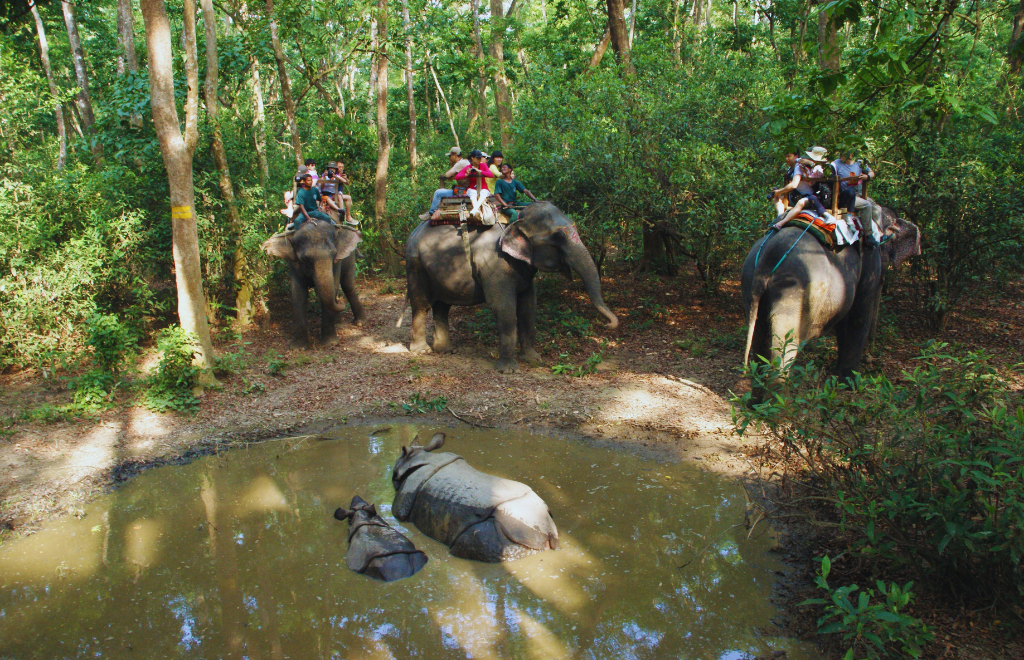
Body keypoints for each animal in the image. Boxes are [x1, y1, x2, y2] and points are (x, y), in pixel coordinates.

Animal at [391, 433, 559, 563]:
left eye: (394, 474)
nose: (392, 479)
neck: (421, 457)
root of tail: (549, 534)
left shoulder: (404, 500)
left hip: (508, 530)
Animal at [403, 201, 618, 372]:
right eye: (557, 238)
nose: (608, 325)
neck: (517, 218)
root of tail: (414, 231)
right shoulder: (494, 262)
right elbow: (504, 306)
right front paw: (509, 370)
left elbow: (529, 305)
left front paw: (533, 359)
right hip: (415, 265)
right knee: (421, 304)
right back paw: (422, 351)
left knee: (442, 306)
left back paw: (446, 350)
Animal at [741, 203, 920, 379]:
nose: (870, 357)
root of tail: (766, 260)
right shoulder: (870, 260)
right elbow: (859, 317)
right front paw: (850, 380)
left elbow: (844, 322)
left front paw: (838, 373)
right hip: (793, 291)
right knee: (786, 344)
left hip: (750, 280)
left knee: (759, 333)